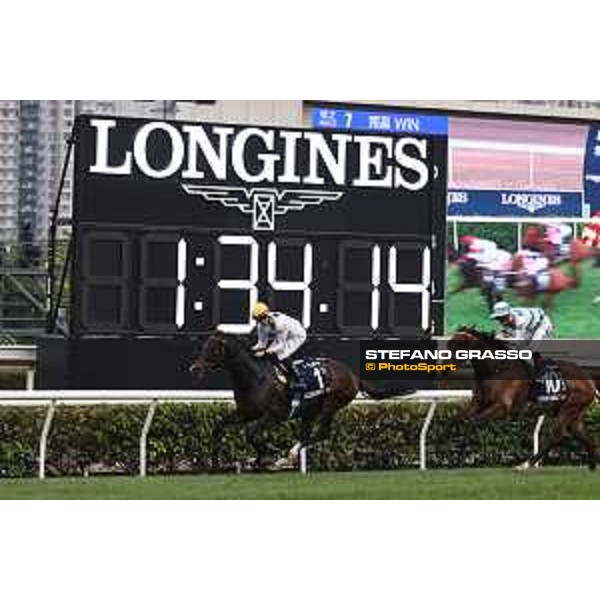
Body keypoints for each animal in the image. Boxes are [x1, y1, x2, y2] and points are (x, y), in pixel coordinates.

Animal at [190, 332, 410, 468]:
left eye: (212, 349)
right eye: (203, 346)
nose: (194, 368)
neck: (256, 377)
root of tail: (353, 375)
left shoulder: (275, 415)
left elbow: (251, 433)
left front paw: (262, 457)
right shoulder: (245, 412)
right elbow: (219, 427)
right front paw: (215, 462)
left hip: (330, 405)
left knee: (321, 433)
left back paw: (287, 456)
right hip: (309, 412)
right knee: (309, 434)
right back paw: (288, 457)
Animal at [448, 326, 596, 472]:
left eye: (459, 345)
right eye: (449, 344)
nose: (445, 369)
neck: (497, 369)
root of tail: (589, 380)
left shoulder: (502, 407)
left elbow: (473, 421)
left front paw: (460, 453)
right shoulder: (478, 403)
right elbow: (458, 419)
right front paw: (454, 449)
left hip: (568, 408)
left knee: (557, 434)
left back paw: (526, 464)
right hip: (573, 412)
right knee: (584, 435)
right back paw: (592, 466)